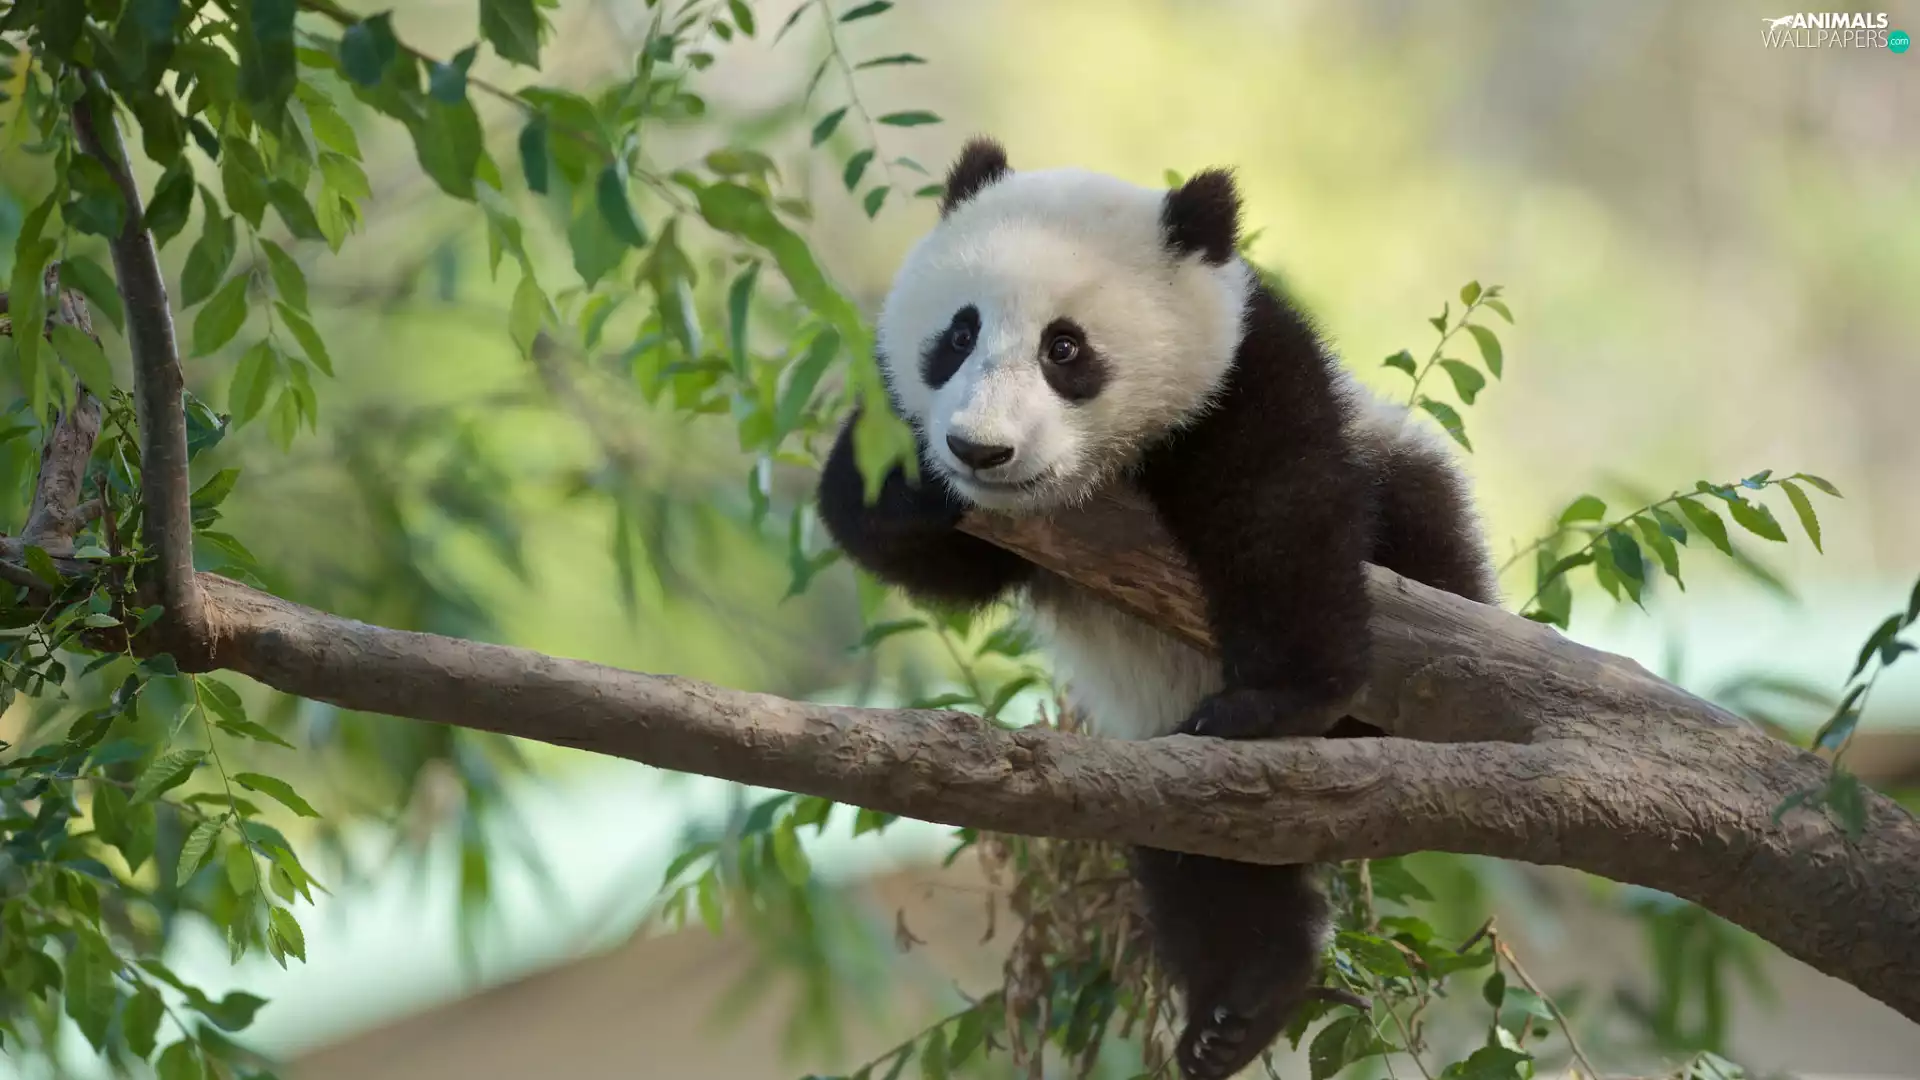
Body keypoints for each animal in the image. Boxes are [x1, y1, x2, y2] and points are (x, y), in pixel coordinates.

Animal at [816, 137, 1496, 1079]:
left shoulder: (1247, 372)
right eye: (958, 333)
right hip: (1160, 765)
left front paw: (1276, 698)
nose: (980, 449)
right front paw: (898, 479)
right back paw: (1239, 1004)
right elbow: (932, 553)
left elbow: (1277, 510)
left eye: (1065, 348)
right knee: (1204, 855)